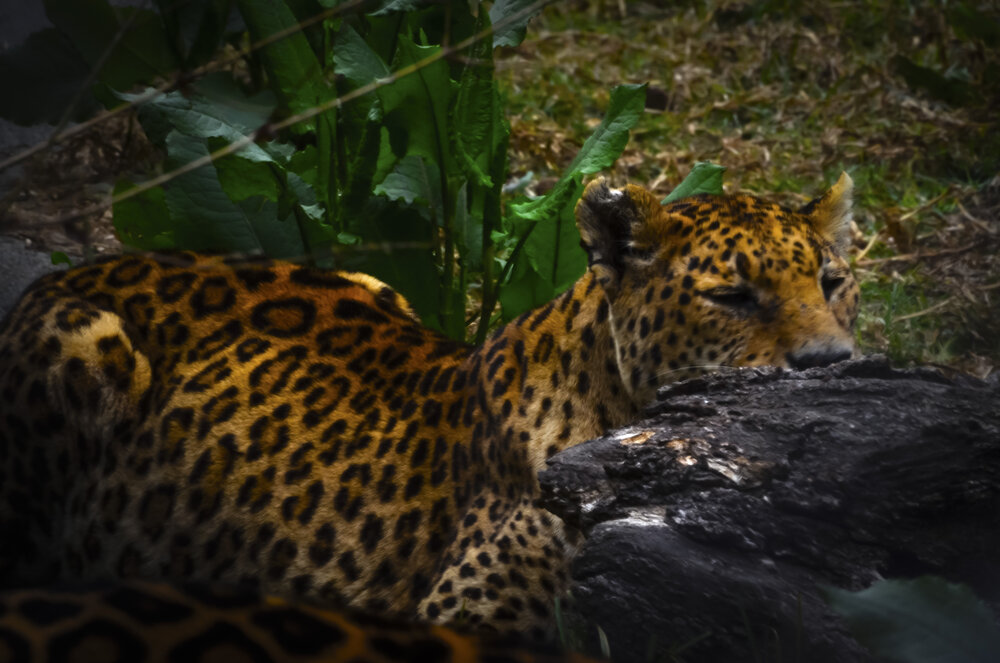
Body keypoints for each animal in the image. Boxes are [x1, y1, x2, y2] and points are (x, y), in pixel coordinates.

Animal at [0, 173, 859, 642]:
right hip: (81, 347)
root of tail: (81, 267)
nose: (832, 364)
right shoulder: (463, 620)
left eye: (833, 282)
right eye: (732, 296)